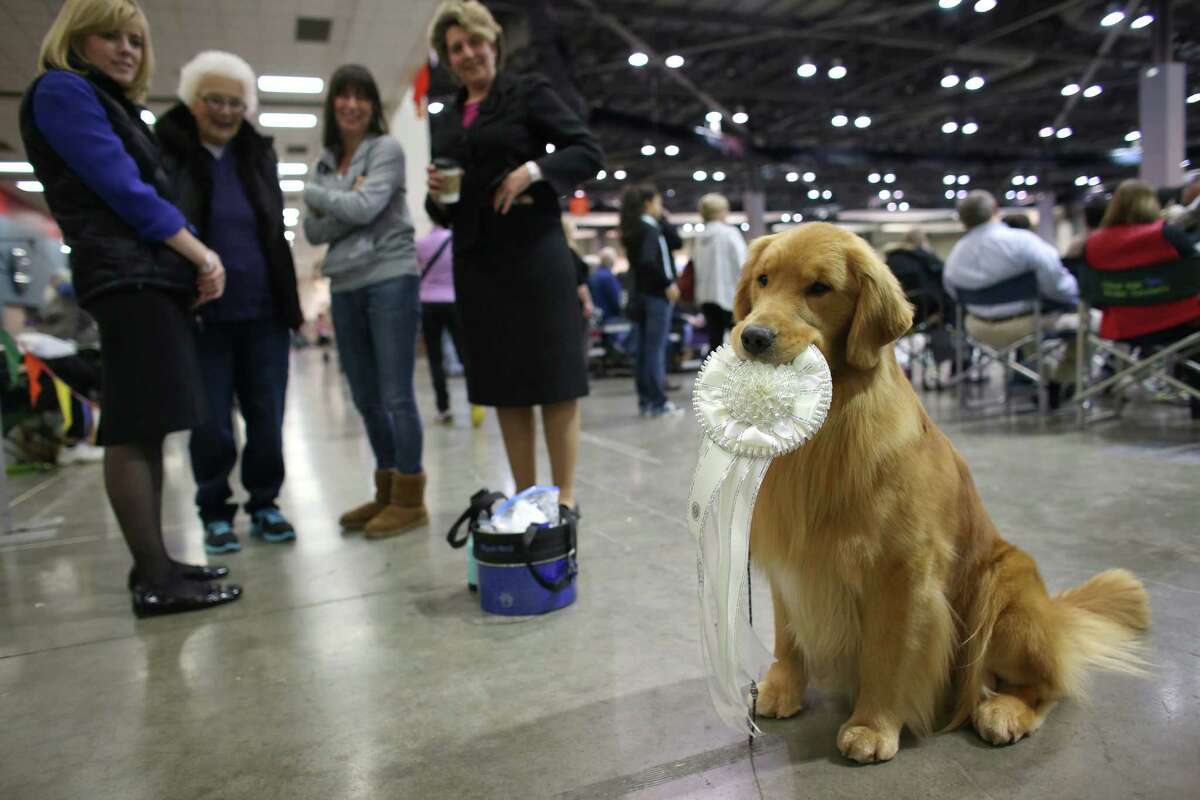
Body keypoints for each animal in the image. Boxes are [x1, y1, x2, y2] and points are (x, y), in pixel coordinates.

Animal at [734, 221, 1147, 762]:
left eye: (819, 288)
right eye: (763, 279)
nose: (752, 335)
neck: (827, 430)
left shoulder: (902, 570)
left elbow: (888, 655)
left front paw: (872, 726)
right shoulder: (792, 561)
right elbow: (788, 636)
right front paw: (783, 688)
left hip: (1004, 594)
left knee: (1047, 686)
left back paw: (1002, 711)